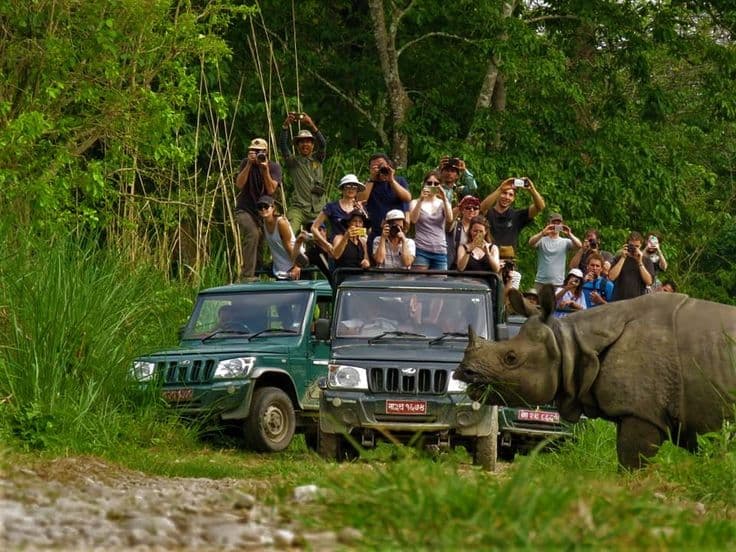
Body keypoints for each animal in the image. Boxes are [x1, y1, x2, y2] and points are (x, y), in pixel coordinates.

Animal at [454, 286, 736, 469]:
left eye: (511, 358)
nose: (464, 371)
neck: (570, 344)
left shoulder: (642, 414)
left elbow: (631, 463)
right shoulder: (637, 410)